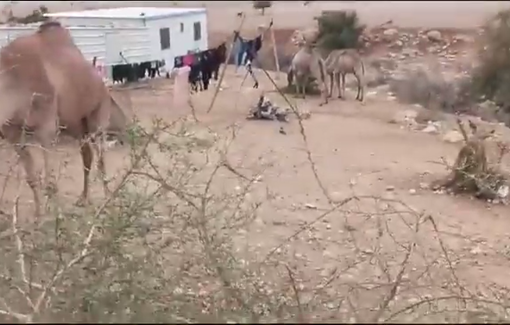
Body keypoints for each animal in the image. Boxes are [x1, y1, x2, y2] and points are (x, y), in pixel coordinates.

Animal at [0, 21, 115, 216]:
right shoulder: (12, 132)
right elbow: (31, 177)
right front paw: (38, 216)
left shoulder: (46, 126)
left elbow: (50, 180)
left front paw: (55, 215)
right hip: (76, 124)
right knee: (87, 155)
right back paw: (83, 199)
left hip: (99, 112)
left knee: (101, 155)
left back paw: (107, 199)